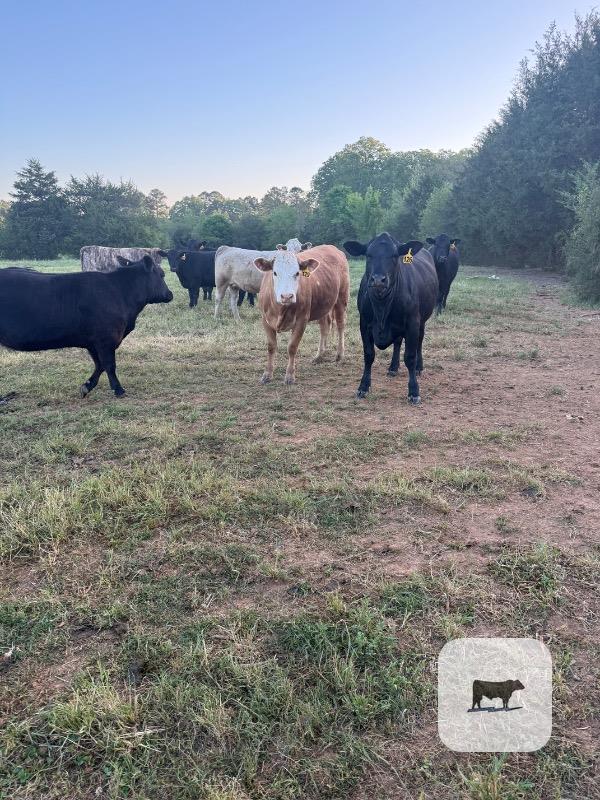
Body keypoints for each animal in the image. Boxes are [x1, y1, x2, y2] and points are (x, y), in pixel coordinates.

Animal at [0, 256, 173, 397]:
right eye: (162, 274)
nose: (170, 294)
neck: (120, 292)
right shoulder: (105, 339)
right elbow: (109, 365)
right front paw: (118, 390)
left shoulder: (92, 342)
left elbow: (100, 365)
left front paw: (86, 386)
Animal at [254, 244, 349, 385]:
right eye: (275, 273)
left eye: (297, 273)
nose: (287, 296)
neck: (280, 310)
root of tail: (332, 247)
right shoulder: (265, 320)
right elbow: (271, 347)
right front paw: (267, 374)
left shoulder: (301, 320)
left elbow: (292, 347)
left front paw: (289, 375)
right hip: (323, 305)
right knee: (324, 327)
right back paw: (319, 356)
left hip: (341, 298)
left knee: (341, 325)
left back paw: (339, 354)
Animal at [344, 233, 438, 403]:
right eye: (368, 254)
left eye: (395, 256)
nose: (378, 279)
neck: (382, 306)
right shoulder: (364, 324)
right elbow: (369, 355)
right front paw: (363, 387)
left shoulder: (412, 323)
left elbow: (410, 356)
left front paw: (414, 391)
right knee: (397, 342)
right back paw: (393, 367)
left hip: (422, 321)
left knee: (419, 342)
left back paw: (419, 367)